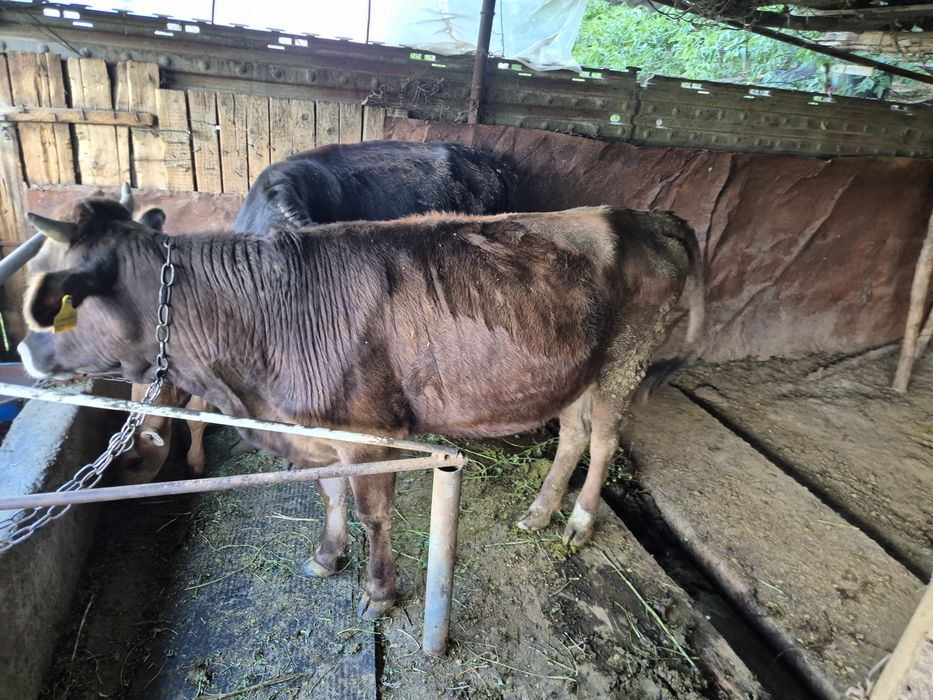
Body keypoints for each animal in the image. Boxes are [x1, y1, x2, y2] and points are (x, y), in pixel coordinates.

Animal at [18, 198, 703, 619]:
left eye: (58, 296)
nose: (22, 348)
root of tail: (648, 216)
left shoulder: (370, 432)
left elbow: (374, 513)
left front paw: (379, 591)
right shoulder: (317, 432)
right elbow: (328, 491)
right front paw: (327, 557)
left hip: (626, 357)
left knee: (606, 439)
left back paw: (579, 522)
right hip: (574, 370)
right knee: (572, 434)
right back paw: (538, 511)